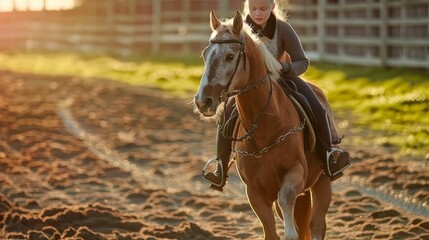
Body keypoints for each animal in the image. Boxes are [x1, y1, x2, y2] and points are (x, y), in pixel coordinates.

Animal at [194, 11, 334, 240]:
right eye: (206, 55)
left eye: (230, 56)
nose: (202, 101)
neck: (265, 127)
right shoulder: (255, 192)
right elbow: (270, 231)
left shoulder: (295, 174)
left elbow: (287, 202)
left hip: (322, 182)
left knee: (317, 225)